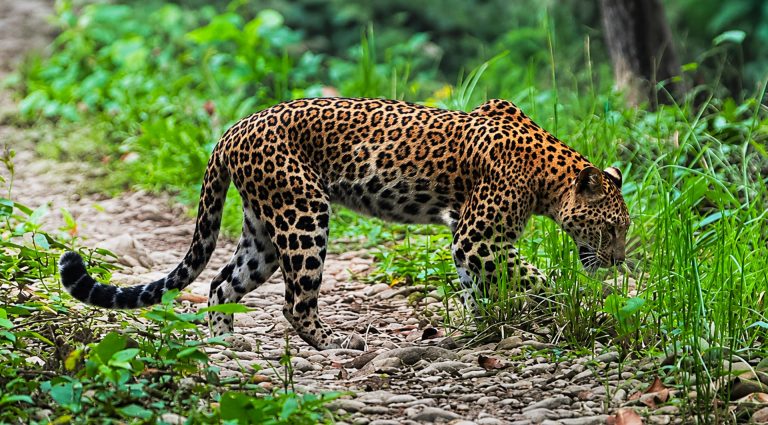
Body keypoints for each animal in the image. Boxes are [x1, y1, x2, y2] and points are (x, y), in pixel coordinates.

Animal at [59, 97, 630, 351]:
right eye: (611, 229)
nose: (618, 260)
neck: (548, 179)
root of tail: (232, 130)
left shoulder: (470, 242)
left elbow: (478, 288)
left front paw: (486, 328)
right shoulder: (477, 237)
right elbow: (532, 278)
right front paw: (568, 310)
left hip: (264, 233)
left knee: (222, 283)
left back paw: (224, 345)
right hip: (303, 213)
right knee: (294, 301)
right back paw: (334, 343)